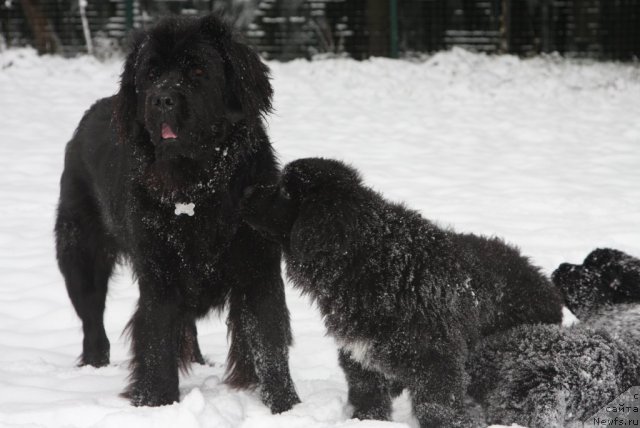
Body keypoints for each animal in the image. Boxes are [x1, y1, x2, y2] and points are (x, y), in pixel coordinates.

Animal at [53, 14, 300, 412]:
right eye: (151, 74)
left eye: (198, 70)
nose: (162, 99)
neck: (195, 187)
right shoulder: (159, 271)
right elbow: (156, 339)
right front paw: (156, 402)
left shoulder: (258, 268)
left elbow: (267, 341)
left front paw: (286, 406)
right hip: (80, 250)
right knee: (92, 315)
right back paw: (94, 364)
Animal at [241, 158, 564, 428]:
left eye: (284, 191)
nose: (245, 190)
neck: (368, 259)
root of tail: (541, 279)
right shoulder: (359, 355)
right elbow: (368, 394)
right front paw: (369, 420)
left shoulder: (437, 362)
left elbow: (436, 407)